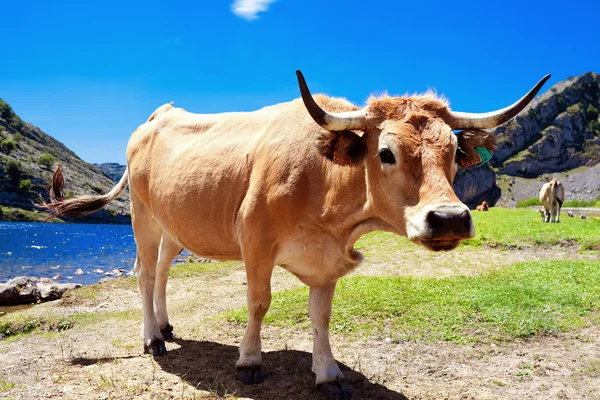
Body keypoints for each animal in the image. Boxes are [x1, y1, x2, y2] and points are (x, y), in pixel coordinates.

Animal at [41, 71, 548, 396]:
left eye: (455, 151)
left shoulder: (329, 260)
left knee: (162, 270)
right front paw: (249, 361)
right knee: (145, 273)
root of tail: (157, 116)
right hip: (143, 216)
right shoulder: (255, 240)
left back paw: (165, 325)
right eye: (385, 152)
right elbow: (258, 303)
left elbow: (321, 316)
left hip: (175, 224)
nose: (449, 219)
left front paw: (327, 373)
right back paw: (153, 339)